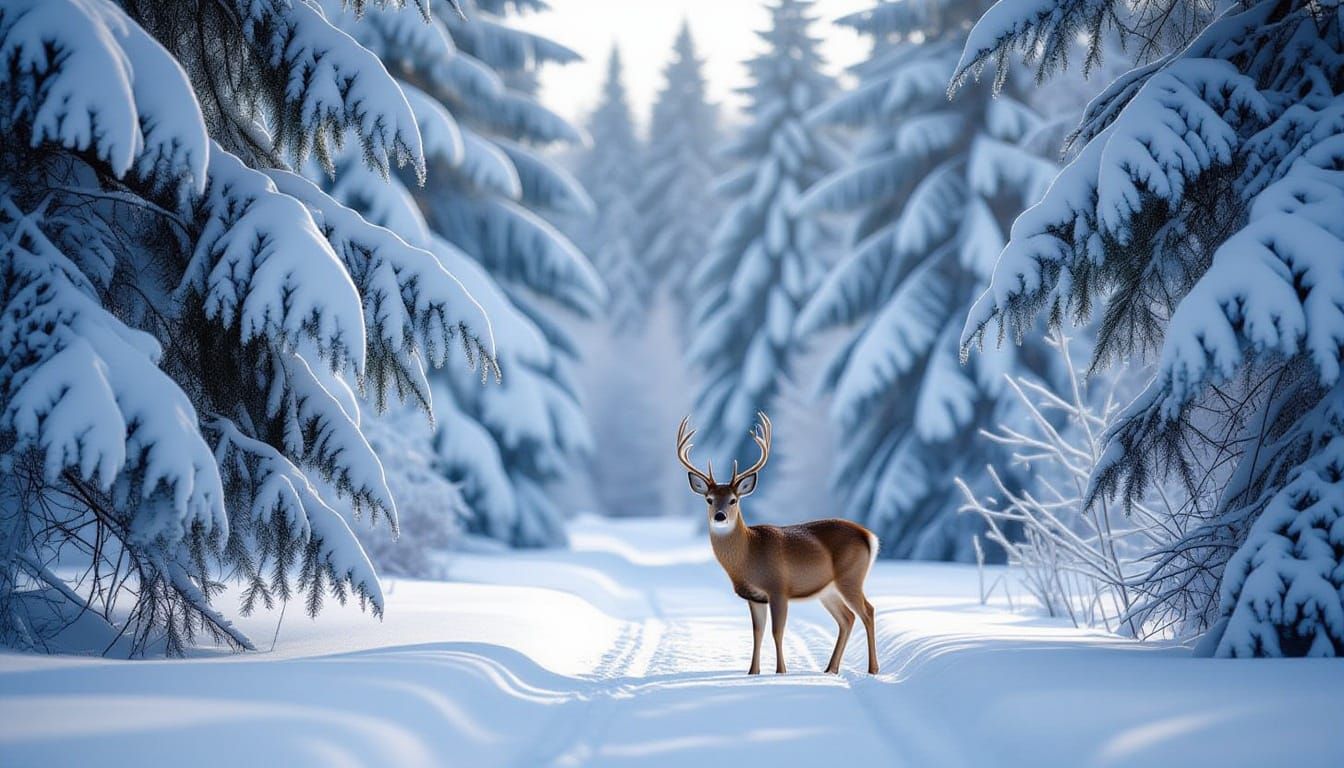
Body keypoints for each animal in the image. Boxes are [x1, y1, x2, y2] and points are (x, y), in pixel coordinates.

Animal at [677, 412, 880, 675]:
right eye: (709, 499)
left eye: (733, 500)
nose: (719, 516)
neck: (749, 556)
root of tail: (869, 536)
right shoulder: (754, 596)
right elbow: (757, 632)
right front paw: (753, 672)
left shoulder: (778, 587)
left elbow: (777, 631)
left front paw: (780, 671)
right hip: (829, 590)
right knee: (847, 618)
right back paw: (830, 669)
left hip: (851, 576)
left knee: (868, 611)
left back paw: (872, 669)